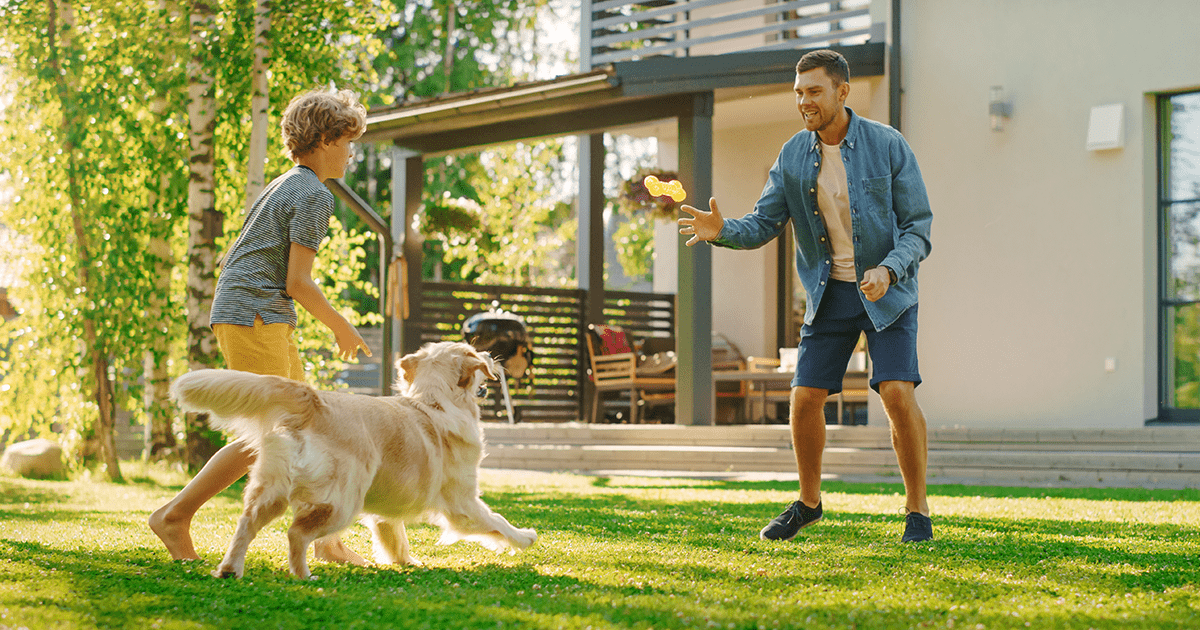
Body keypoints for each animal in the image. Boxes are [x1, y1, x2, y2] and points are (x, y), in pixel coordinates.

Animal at [170, 340, 540, 578]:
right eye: (476, 358)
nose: (490, 357)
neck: (432, 401)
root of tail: (315, 401)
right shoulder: (462, 502)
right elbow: (497, 521)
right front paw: (524, 537)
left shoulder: (387, 509)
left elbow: (394, 536)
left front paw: (406, 563)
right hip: (342, 502)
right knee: (296, 533)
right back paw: (303, 576)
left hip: (271, 489)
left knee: (246, 523)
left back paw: (230, 570)